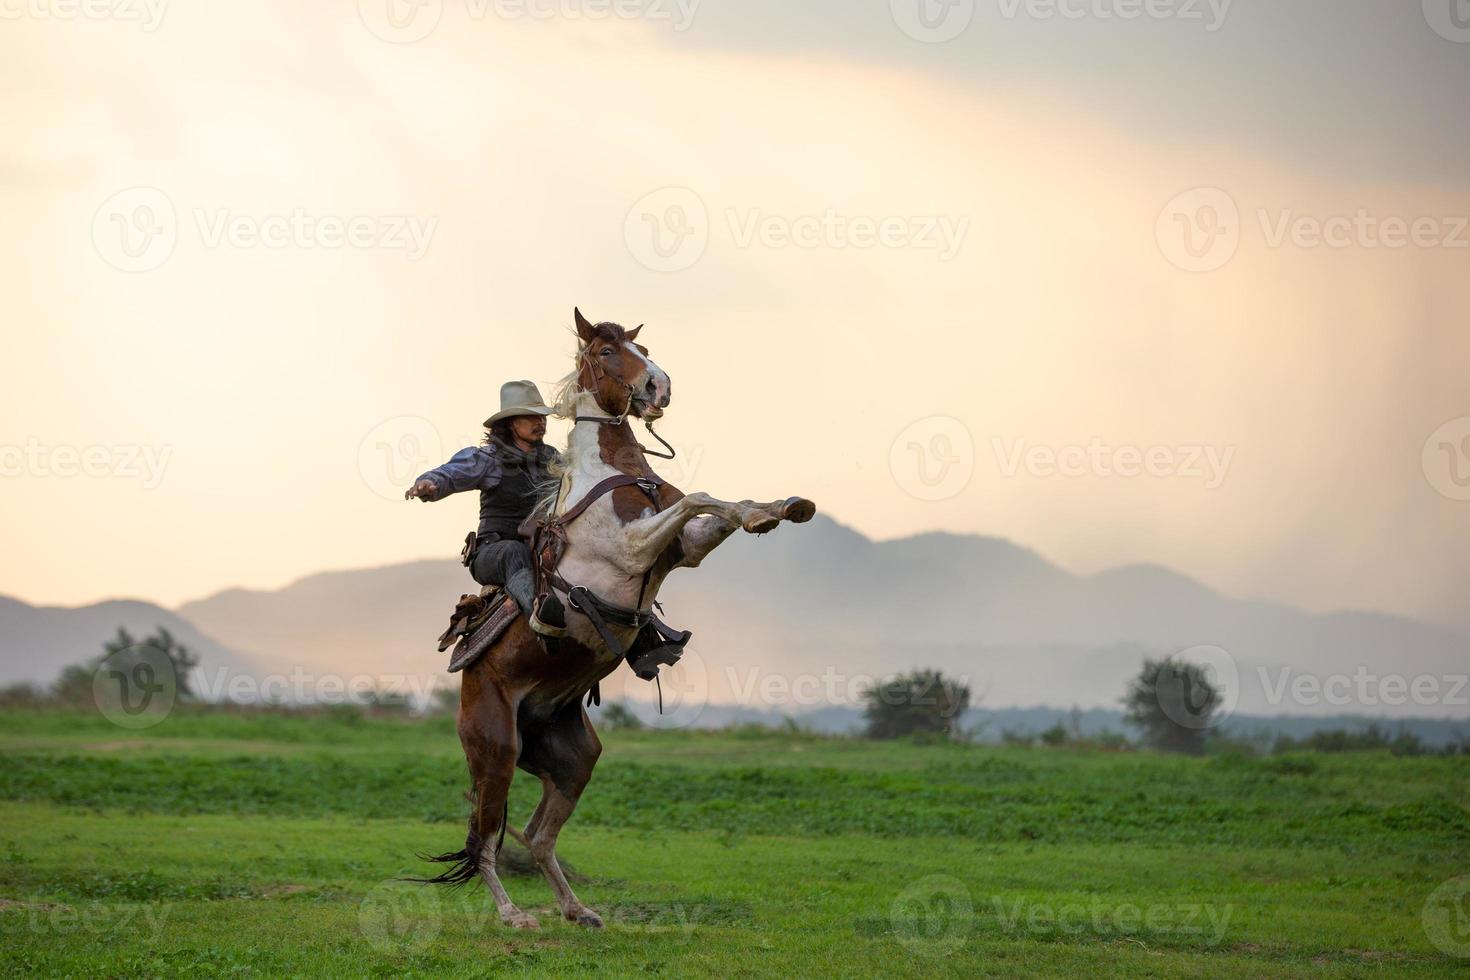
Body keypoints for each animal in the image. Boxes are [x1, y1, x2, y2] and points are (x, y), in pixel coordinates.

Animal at [426, 310, 817, 934]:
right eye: (607, 351)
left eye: (643, 346)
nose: (660, 386)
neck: (616, 475)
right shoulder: (634, 549)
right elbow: (698, 496)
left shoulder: (684, 548)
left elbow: (716, 505)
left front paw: (778, 508)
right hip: (496, 751)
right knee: (484, 841)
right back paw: (515, 915)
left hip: (573, 758)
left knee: (536, 836)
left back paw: (577, 909)